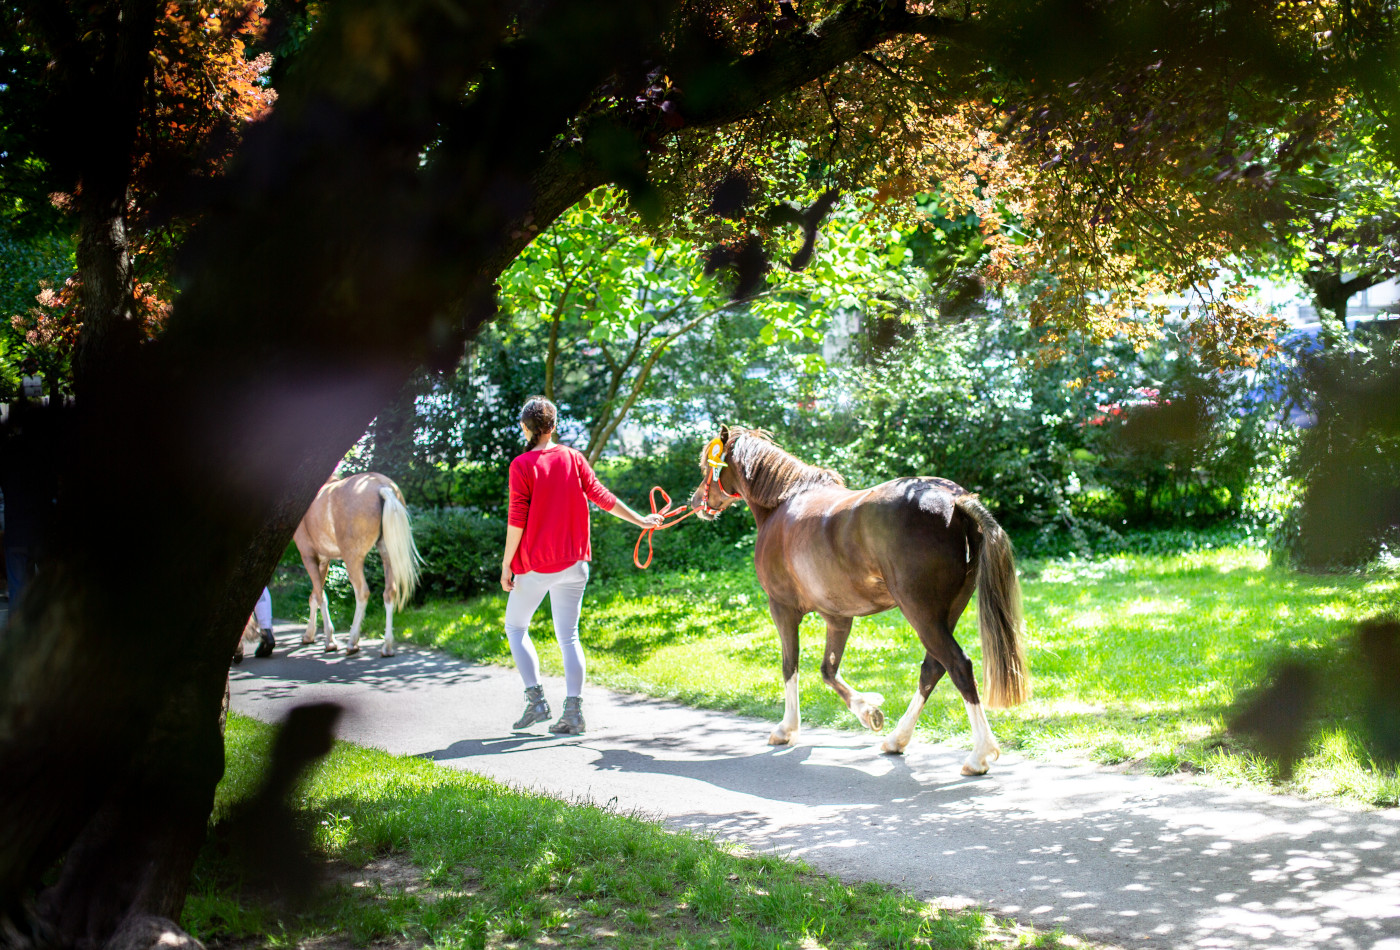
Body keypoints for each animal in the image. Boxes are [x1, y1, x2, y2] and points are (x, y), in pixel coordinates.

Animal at [294, 472, 420, 657]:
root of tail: (380, 485)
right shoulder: (323, 559)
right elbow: (315, 596)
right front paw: (309, 635)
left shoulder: (308, 555)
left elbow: (320, 596)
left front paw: (329, 641)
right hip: (387, 554)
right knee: (390, 592)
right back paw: (387, 646)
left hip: (352, 559)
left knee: (362, 592)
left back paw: (352, 642)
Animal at [688, 428, 1030, 777]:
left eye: (707, 465)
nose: (696, 501)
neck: (783, 503)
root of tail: (955, 500)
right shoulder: (837, 617)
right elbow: (828, 670)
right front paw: (869, 711)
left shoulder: (782, 608)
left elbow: (790, 666)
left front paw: (787, 728)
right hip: (946, 614)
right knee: (933, 668)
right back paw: (896, 739)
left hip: (922, 615)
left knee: (958, 666)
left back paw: (979, 755)